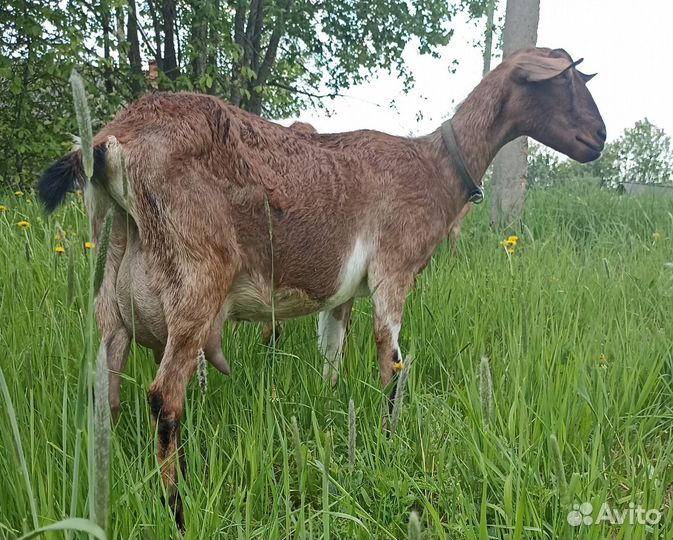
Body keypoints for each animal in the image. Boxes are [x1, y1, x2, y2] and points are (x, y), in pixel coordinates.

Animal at [38, 47, 605, 529]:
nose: (598, 137)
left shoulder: (342, 294)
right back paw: (177, 511)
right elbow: (392, 362)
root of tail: (110, 143)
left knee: (106, 389)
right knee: (164, 397)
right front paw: (389, 442)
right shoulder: (393, 267)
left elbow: (332, 354)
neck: (434, 167)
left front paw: (334, 420)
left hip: (111, 283)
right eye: (568, 80)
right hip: (197, 276)